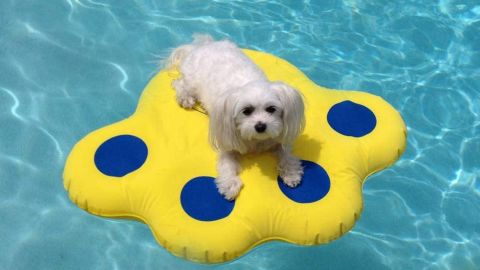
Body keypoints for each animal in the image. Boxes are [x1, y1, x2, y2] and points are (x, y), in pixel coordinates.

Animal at [167, 35, 306, 200]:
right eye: (246, 111)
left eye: (271, 109)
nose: (260, 126)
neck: (256, 140)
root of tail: (203, 45)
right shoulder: (227, 139)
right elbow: (227, 164)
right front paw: (229, 184)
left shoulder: (276, 139)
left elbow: (286, 154)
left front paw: (291, 172)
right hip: (192, 81)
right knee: (179, 83)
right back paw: (185, 98)